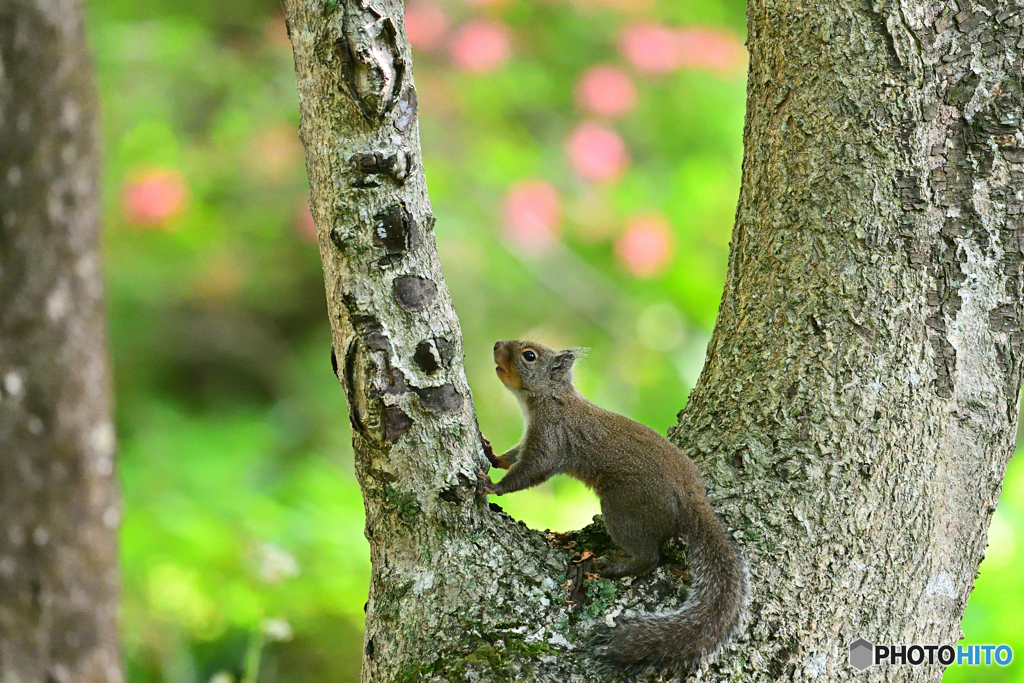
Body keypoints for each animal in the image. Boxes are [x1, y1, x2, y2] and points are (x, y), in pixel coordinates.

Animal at [475, 339, 749, 671]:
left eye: (529, 356)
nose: (497, 344)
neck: (552, 398)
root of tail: (692, 500)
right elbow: (514, 456)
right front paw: (492, 455)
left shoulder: (552, 438)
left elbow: (532, 470)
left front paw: (493, 486)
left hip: (623, 510)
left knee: (649, 558)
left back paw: (610, 566)